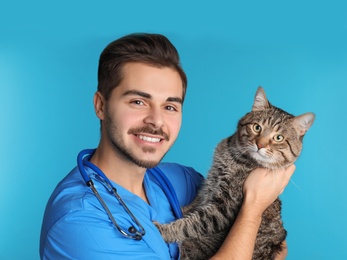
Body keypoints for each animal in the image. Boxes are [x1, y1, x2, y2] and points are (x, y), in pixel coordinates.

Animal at [154, 86, 316, 258]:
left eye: (278, 138)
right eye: (257, 127)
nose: (260, 145)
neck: (234, 156)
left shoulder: (224, 208)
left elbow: (191, 224)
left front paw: (164, 230)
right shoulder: (209, 183)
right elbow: (196, 202)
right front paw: (184, 209)